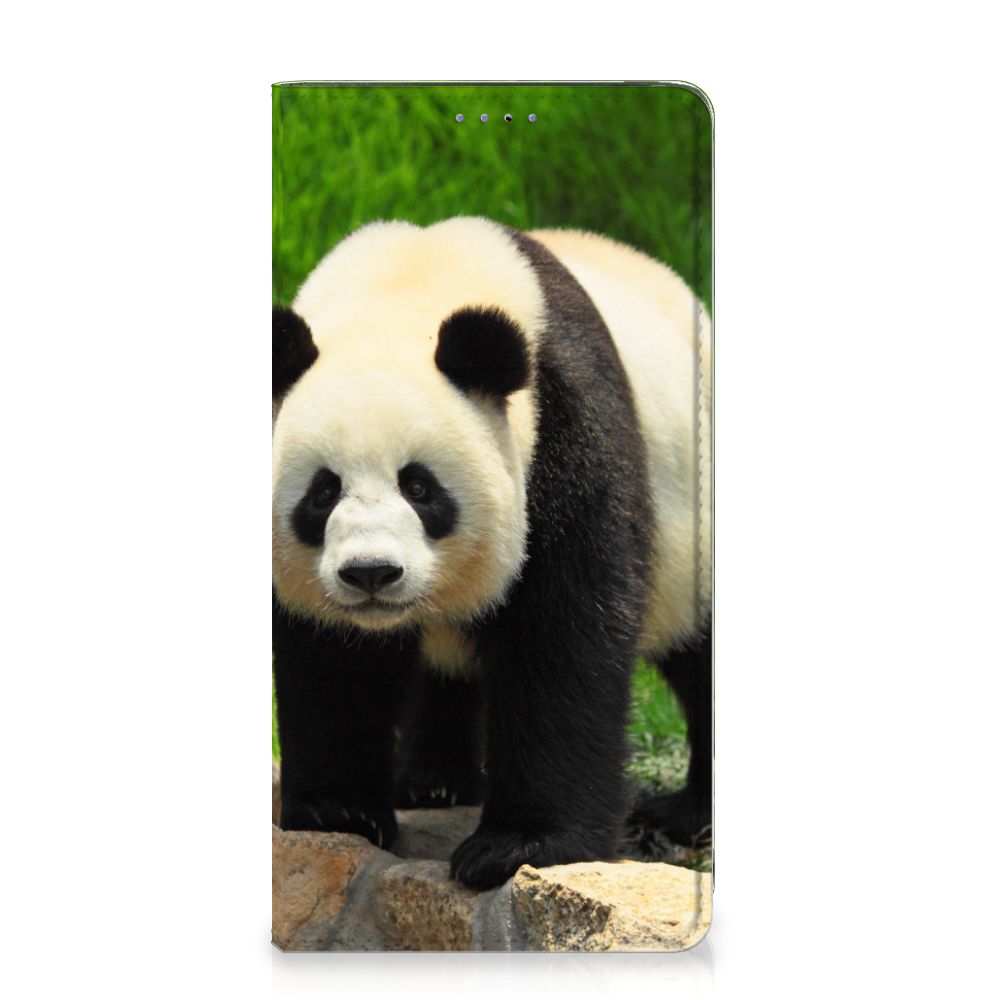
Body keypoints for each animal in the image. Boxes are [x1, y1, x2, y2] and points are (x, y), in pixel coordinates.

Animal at [272, 216, 712, 891]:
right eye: (323, 492)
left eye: (420, 487)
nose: (371, 574)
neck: (405, 288)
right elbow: (329, 658)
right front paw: (337, 810)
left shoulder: (564, 431)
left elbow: (561, 636)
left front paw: (518, 845)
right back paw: (432, 781)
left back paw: (688, 815)